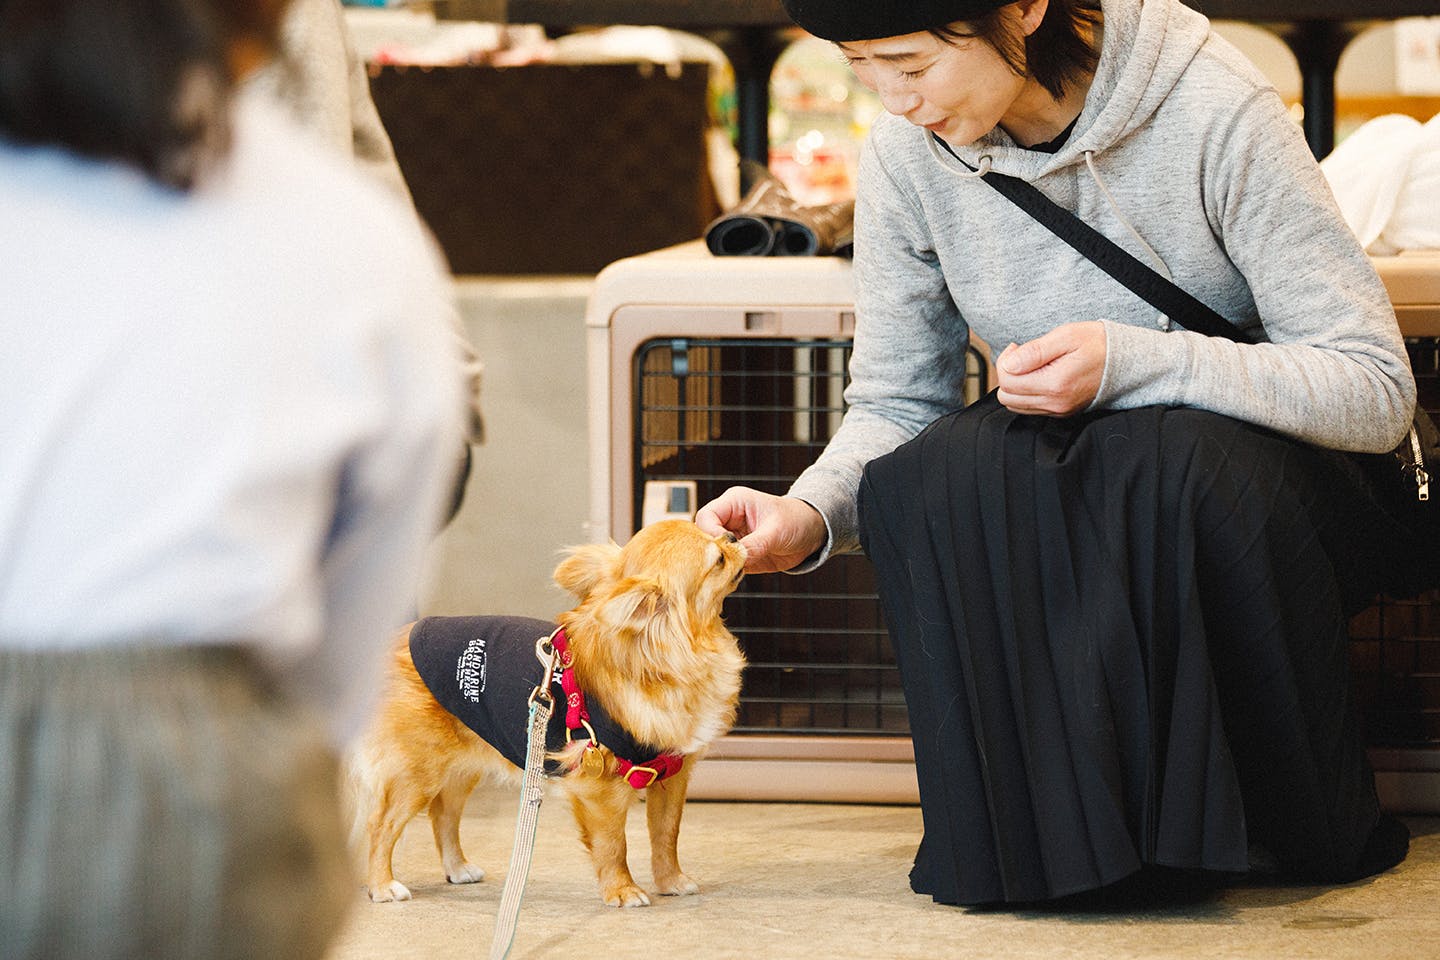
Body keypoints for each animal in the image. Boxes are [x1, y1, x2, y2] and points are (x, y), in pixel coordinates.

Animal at [349, 521, 748, 903]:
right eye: (718, 560)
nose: (732, 535)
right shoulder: (598, 788)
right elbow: (613, 845)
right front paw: (622, 891)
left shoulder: (671, 772)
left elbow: (666, 834)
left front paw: (671, 881)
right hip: (417, 774)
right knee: (381, 825)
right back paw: (382, 885)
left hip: (461, 766)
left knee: (443, 813)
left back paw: (458, 868)